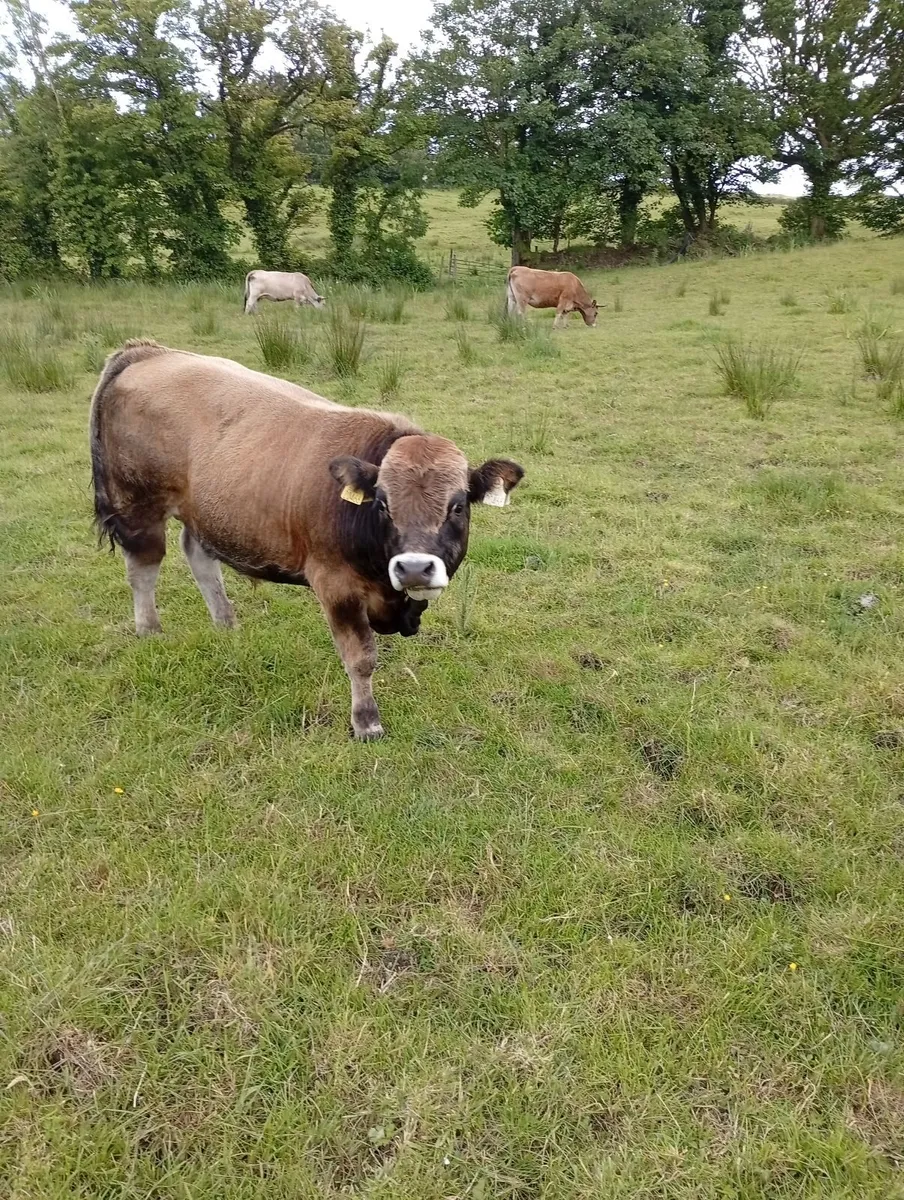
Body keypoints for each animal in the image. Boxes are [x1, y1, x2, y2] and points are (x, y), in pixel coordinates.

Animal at [89, 341, 524, 740]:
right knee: (143, 566)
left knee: (199, 557)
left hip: (204, 512)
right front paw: (366, 722)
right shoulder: (335, 585)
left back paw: (226, 625)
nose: (414, 568)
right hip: (138, 506)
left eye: (458, 507)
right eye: (382, 504)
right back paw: (149, 630)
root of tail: (150, 351)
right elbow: (361, 657)